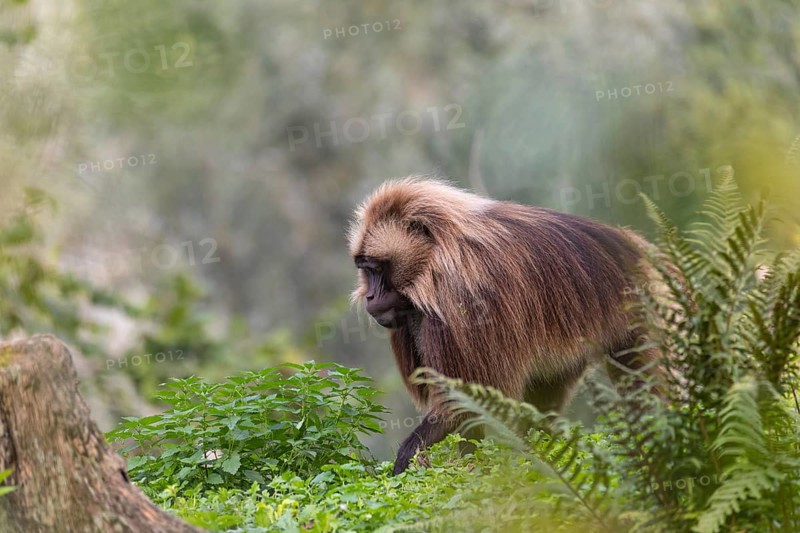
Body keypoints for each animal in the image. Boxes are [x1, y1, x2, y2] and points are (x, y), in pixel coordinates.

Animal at [347, 177, 661, 475]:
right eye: (365, 269)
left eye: (376, 268)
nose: (371, 297)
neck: (436, 260)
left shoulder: (465, 300)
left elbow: (467, 397)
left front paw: (410, 458)